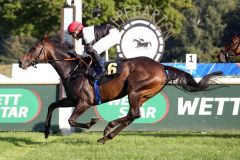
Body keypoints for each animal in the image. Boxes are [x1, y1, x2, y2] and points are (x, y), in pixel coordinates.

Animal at [18, 36, 223, 144]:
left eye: (34, 48)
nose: (21, 62)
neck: (73, 69)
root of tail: (161, 66)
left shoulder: (84, 101)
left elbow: (71, 120)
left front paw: (91, 123)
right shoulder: (71, 100)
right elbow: (52, 105)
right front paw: (46, 132)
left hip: (135, 90)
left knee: (133, 114)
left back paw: (107, 130)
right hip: (143, 94)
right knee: (133, 115)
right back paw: (107, 135)